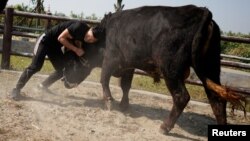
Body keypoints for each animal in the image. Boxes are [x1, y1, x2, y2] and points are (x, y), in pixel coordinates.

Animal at [62, 5, 244, 133]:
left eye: (74, 62)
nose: (64, 81)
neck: (105, 34)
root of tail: (201, 11)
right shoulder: (128, 66)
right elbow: (125, 86)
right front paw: (124, 104)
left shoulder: (110, 59)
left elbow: (104, 79)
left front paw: (109, 102)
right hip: (210, 68)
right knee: (217, 100)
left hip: (171, 70)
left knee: (181, 97)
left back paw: (165, 126)